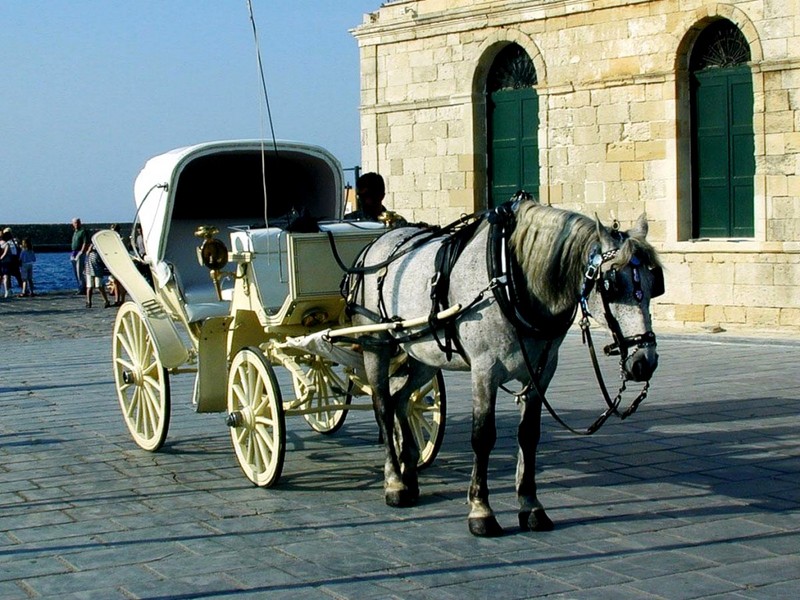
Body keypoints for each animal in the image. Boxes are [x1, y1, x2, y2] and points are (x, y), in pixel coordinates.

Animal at [346, 199, 664, 536]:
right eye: (611, 286)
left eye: (654, 284)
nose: (644, 362)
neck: (509, 278)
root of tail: (376, 242)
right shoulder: (484, 369)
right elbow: (483, 436)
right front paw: (481, 510)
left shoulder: (542, 372)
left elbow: (529, 435)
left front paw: (531, 506)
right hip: (375, 344)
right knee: (383, 405)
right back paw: (394, 482)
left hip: (423, 353)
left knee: (402, 399)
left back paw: (408, 472)